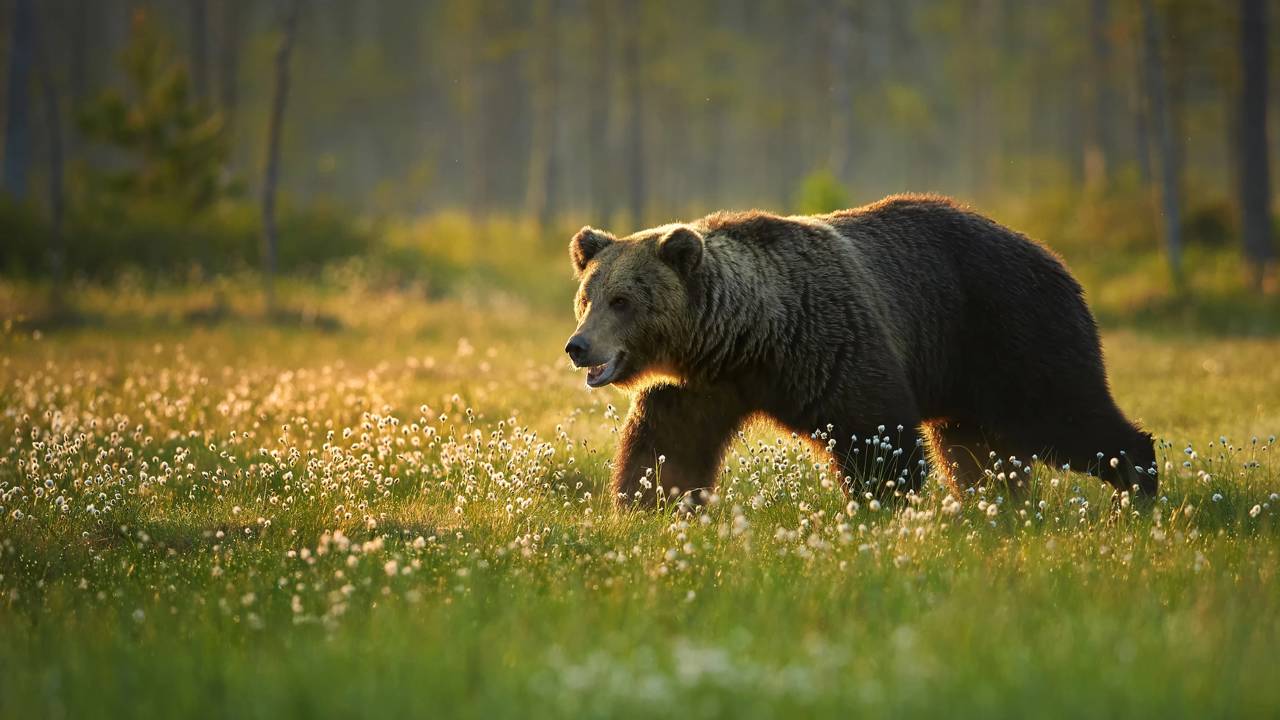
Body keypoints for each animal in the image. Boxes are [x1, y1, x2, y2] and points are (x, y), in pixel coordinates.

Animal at [564, 194, 1157, 508]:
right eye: (587, 297)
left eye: (623, 300)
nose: (578, 346)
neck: (747, 338)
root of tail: (1055, 258)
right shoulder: (698, 386)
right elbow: (667, 447)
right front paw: (648, 503)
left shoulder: (830, 344)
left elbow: (875, 434)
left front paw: (879, 505)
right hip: (967, 378)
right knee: (975, 451)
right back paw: (994, 507)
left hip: (1012, 331)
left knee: (1065, 413)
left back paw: (1136, 488)